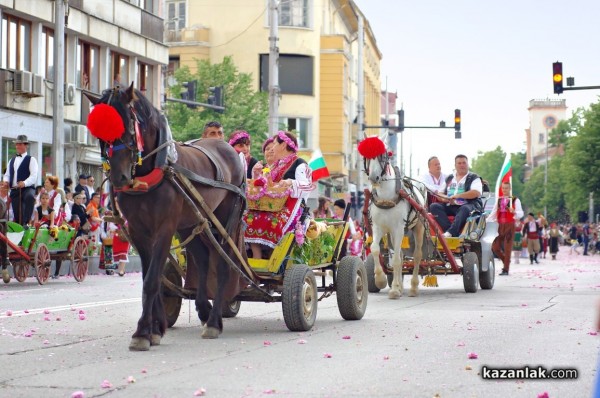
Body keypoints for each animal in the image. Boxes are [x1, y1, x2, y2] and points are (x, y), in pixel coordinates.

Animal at [84, 85, 246, 350]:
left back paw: (214, 322)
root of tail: (227, 147)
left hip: (224, 220)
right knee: (203, 259)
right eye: (100, 134)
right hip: (191, 221)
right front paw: (155, 327)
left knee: (223, 263)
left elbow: (152, 280)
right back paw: (203, 309)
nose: (119, 177)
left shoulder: (165, 228)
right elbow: (153, 277)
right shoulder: (138, 230)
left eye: (129, 125)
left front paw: (142, 331)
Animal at [364, 145, 428, 296]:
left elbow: (397, 260)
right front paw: (381, 280)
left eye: (383, 156)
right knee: (400, 254)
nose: (373, 177)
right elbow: (375, 249)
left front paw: (393, 290)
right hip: (392, 233)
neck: (386, 197)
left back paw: (413, 287)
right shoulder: (378, 227)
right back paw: (399, 286)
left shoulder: (398, 228)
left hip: (417, 227)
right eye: (367, 156)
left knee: (417, 255)